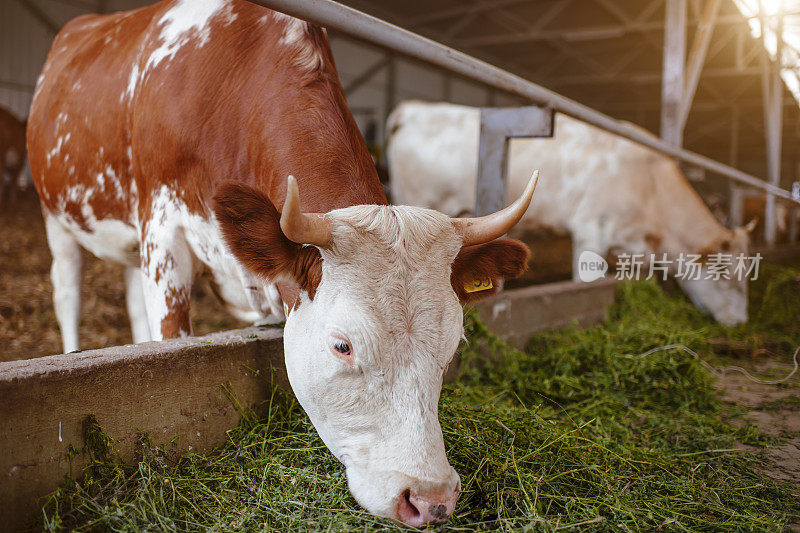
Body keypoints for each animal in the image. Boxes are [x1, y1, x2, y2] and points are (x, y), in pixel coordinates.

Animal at [28, 0, 536, 524]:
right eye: (342, 346)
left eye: (452, 347)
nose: (431, 498)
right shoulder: (162, 232)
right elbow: (170, 336)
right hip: (56, 216)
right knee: (68, 292)